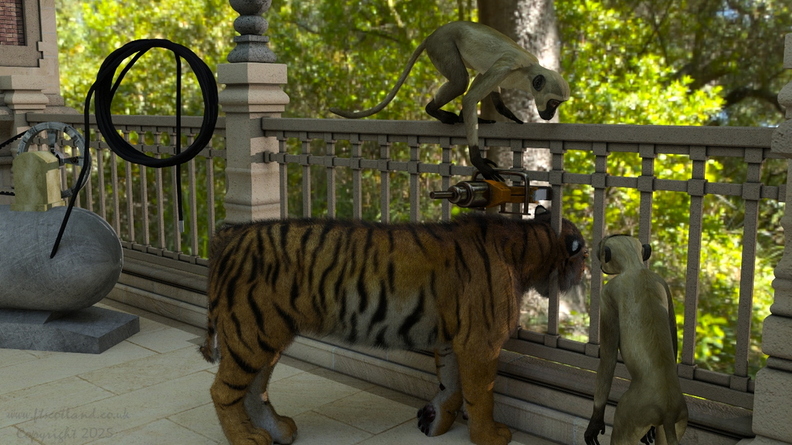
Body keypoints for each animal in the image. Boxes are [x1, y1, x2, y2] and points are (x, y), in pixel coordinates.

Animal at [200, 207, 587, 445]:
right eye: (583, 256)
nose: (585, 275)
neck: (528, 247)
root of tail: (227, 235)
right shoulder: (480, 342)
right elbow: (481, 394)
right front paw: (489, 436)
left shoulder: (452, 339)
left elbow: (451, 385)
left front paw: (436, 424)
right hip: (251, 334)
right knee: (222, 391)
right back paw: (246, 438)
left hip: (268, 335)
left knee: (254, 390)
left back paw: (277, 431)